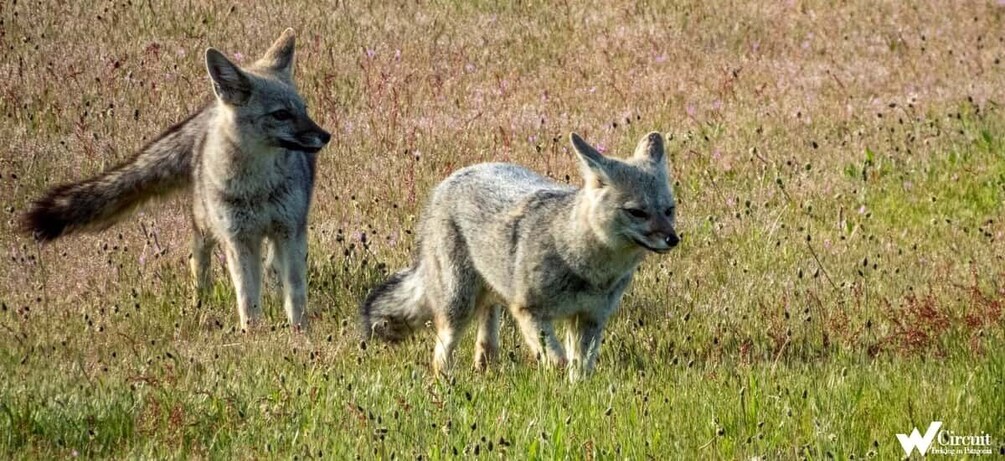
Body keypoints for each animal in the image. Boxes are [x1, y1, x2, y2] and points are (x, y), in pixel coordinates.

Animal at [22, 28, 329, 329]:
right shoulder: (238, 240)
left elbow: (295, 291)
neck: (258, 186)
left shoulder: (289, 231)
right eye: (281, 114)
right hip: (207, 227)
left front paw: (300, 332)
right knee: (199, 260)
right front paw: (253, 335)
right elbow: (247, 300)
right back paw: (200, 303)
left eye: (303, 109)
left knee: (273, 266)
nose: (326, 136)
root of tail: (208, 113)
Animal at [365, 132, 679, 379]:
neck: (584, 265)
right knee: (440, 354)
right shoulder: (529, 312)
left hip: (490, 295)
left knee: (486, 335)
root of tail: (452, 178)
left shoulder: (589, 318)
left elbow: (580, 369)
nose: (673, 239)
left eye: (669, 210)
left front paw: (576, 394)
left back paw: (484, 368)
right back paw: (446, 384)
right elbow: (558, 360)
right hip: (458, 305)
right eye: (637, 212)